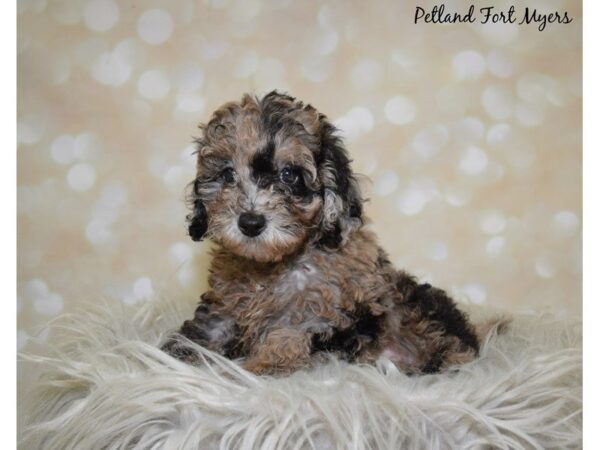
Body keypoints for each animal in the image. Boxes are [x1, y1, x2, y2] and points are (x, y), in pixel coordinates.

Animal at [164, 91, 482, 376]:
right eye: (228, 174)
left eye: (289, 175)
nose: (251, 223)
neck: (273, 265)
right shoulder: (223, 303)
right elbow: (204, 330)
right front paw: (173, 358)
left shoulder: (325, 314)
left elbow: (289, 338)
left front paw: (261, 367)